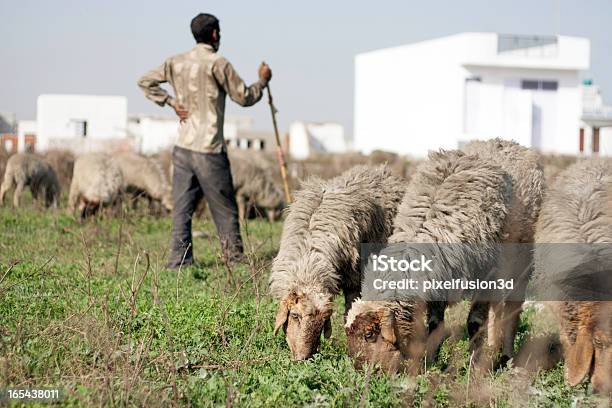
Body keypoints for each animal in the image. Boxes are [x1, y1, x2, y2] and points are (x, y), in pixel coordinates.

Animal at [268, 164, 406, 358]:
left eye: (323, 321)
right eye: (295, 316)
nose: (303, 359)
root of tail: (383, 170)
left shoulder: (353, 279)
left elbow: (349, 312)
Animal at [346, 139, 544, 372]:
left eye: (369, 334)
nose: (369, 373)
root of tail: (507, 142)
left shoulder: (486, 273)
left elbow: (475, 322)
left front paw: (473, 366)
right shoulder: (440, 277)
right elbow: (435, 323)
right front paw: (431, 360)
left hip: (521, 256)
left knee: (513, 306)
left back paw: (506, 356)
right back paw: (493, 348)